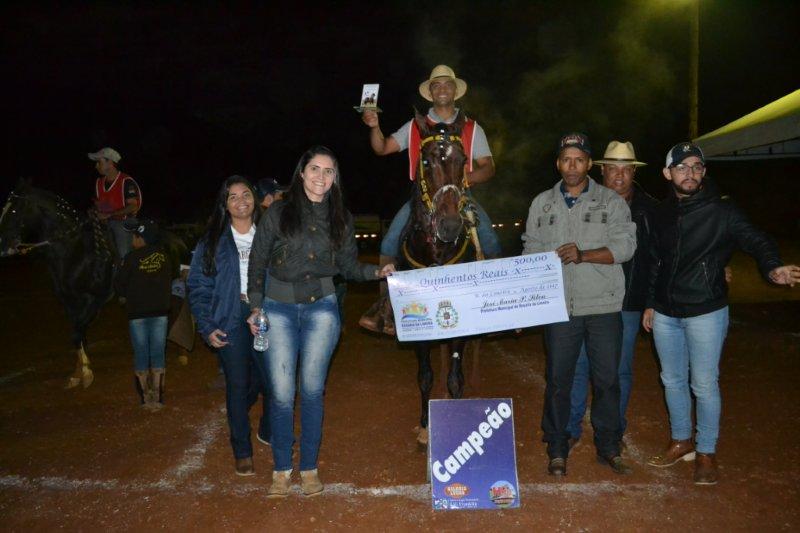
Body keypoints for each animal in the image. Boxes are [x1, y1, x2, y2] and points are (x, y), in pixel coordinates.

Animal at [0, 179, 184, 386]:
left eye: (13, 210)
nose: (2, 244)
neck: (75, 250)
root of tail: (176, 240)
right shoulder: (69, 301)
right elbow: (78, 333)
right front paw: (78, 371)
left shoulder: (95, 299)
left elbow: (78, 331)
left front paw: (86, 373)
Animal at [400, 112, 488, 444]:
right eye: (425, 161)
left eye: (463, 160)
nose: (450, 225)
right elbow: (425, 375)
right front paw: (426, 425)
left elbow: (455, 377)